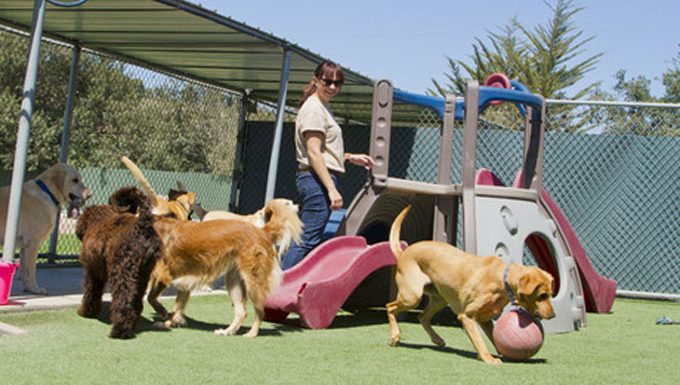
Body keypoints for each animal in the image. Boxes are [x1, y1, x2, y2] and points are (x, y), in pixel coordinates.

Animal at [0, 161, 91, 292]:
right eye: (75, 180)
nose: (90, 195)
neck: (48, 192)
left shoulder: (24, 245)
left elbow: (23, 270)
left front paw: (27, 287)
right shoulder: (33, 242)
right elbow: (31, 270)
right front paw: (34, 288)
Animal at [75, 186, 162, 340]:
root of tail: (142, 226)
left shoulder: (92, 271)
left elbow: (90, 293)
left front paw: (86, 312)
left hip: (122, 273)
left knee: (123, 302)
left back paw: (119, 331)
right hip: (142, 275)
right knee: (136, 303)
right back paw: (131, 325)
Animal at [150, 198, 302, 336]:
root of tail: (262, 231)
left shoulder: (163, 274)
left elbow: (153, 297)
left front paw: (164, 313)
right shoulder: (183, 283)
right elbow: (176, 306)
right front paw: (170, 322)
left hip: (252, 282)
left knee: (260, 311)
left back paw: (251, 334)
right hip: (234, 281)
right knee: (242, 312)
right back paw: (227, 331)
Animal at [386, 204, 556, 364]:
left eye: (550, 295)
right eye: (542, 295)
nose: (553, 315)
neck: (502, 278)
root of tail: (404, 253)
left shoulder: (485, 319)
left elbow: (494, 338)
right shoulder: (467, 316)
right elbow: (479, 341)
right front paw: (488, 358)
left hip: (439, 299)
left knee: (422, 317)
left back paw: (437, 339)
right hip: (412, 297)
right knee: (390, 307)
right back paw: (395, 336)